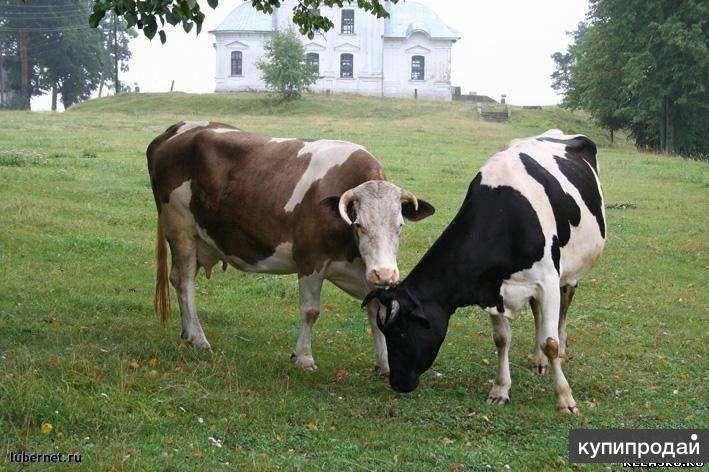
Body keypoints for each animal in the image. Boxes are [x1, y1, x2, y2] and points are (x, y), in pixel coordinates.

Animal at [147, 121, 434, 372]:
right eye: (359, 224)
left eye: (400, 225)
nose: (385, 274)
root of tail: (178, 129)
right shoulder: (310, 259)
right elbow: (310, 311)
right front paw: (304, 358)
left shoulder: (361, 271)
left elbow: (377, 311)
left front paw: (384, 364)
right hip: (180, 228)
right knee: (184, 282)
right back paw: (198, 337)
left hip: (198, 240)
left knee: (178, 279)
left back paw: (187, 332)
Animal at [366, 129, 604, 412]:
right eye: (385, 332)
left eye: (402, 333)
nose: (397, 383)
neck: (505, 213)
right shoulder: (491, 287)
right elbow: (501, 339)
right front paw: (500, 389)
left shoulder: (547, 280)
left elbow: (551, 343)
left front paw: (565, 398)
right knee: (537, 312)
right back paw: (538, 360)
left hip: (570, 270)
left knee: (563, 311)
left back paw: (560, 352)